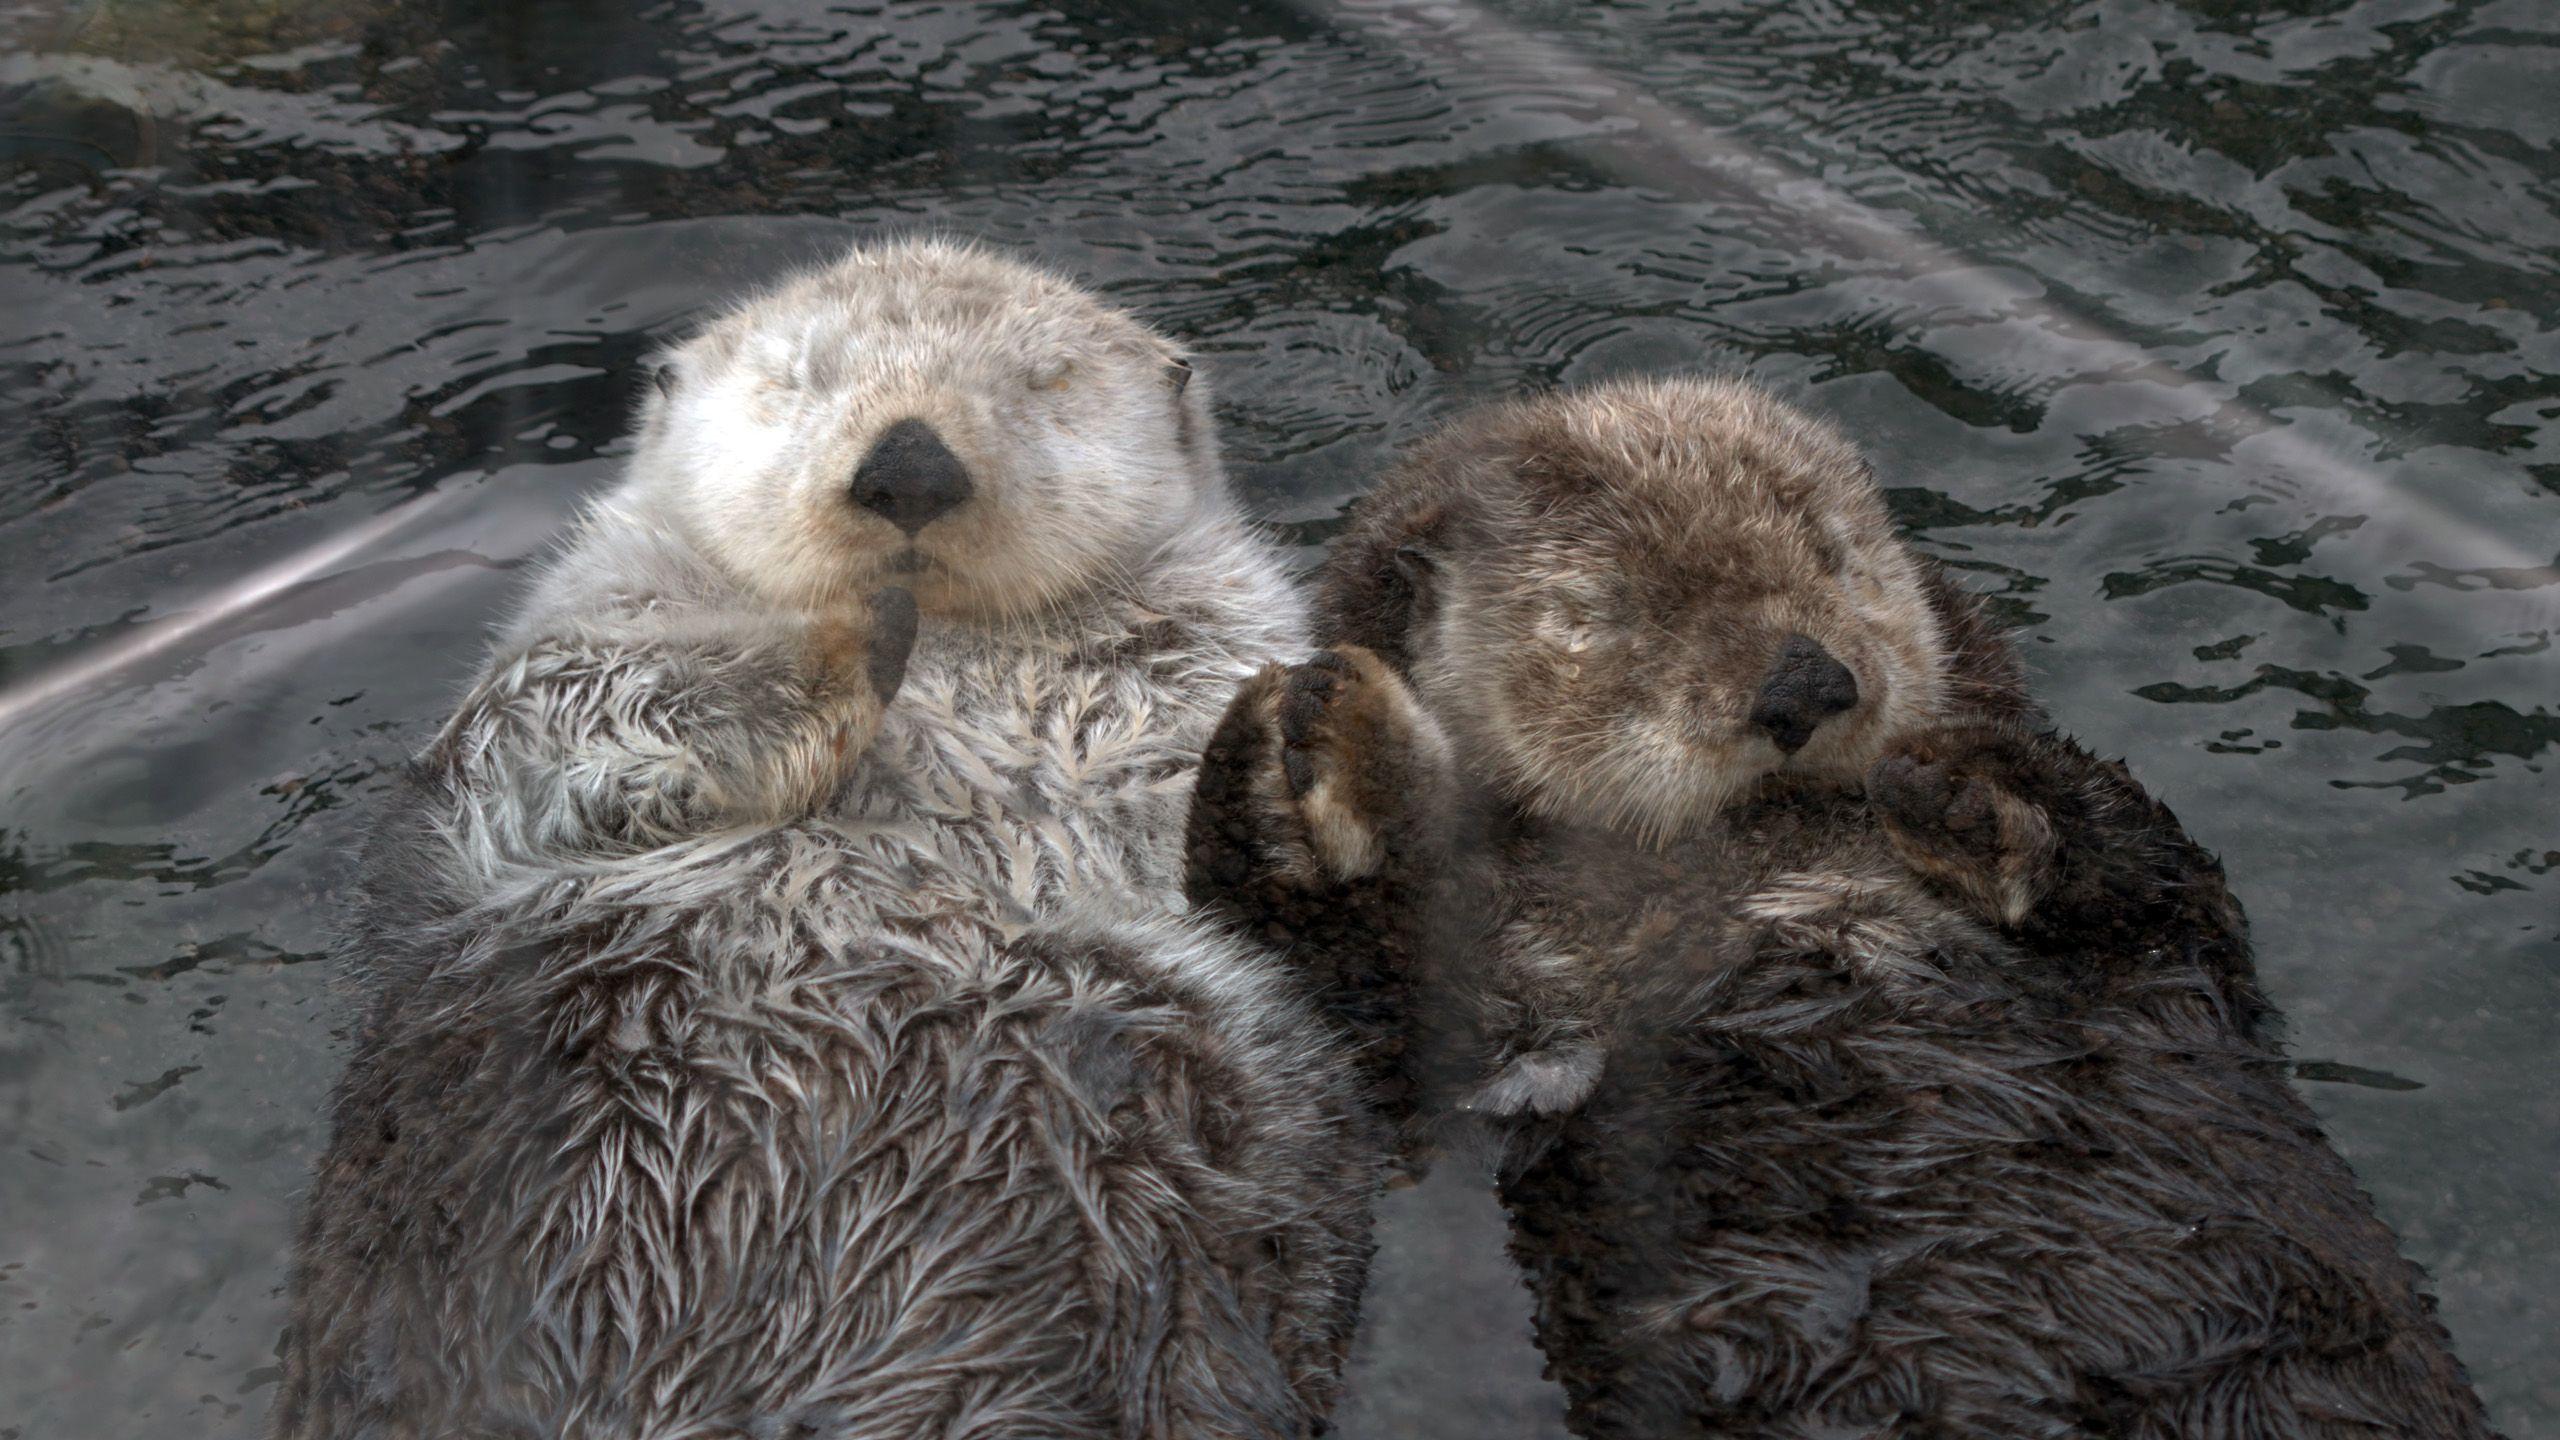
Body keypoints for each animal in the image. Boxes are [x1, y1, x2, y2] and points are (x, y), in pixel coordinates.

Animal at [276, 240, 1387, 1440]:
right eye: (795, 379)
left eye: (1042, 379)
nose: (909, 465)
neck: (962, 652)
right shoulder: (551, 686)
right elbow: (557, 705)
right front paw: (846, 645)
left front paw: (1289, 752)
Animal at [1191, 377, 2499, 1437]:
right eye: (1608, 606)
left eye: (1829, 555)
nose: (1803, 682)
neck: (1758, 868)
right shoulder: (1511, 998)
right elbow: (1387, 1032)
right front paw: (1298, 757)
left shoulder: (2164, 909)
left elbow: (2146, 868)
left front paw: (1957, 788)